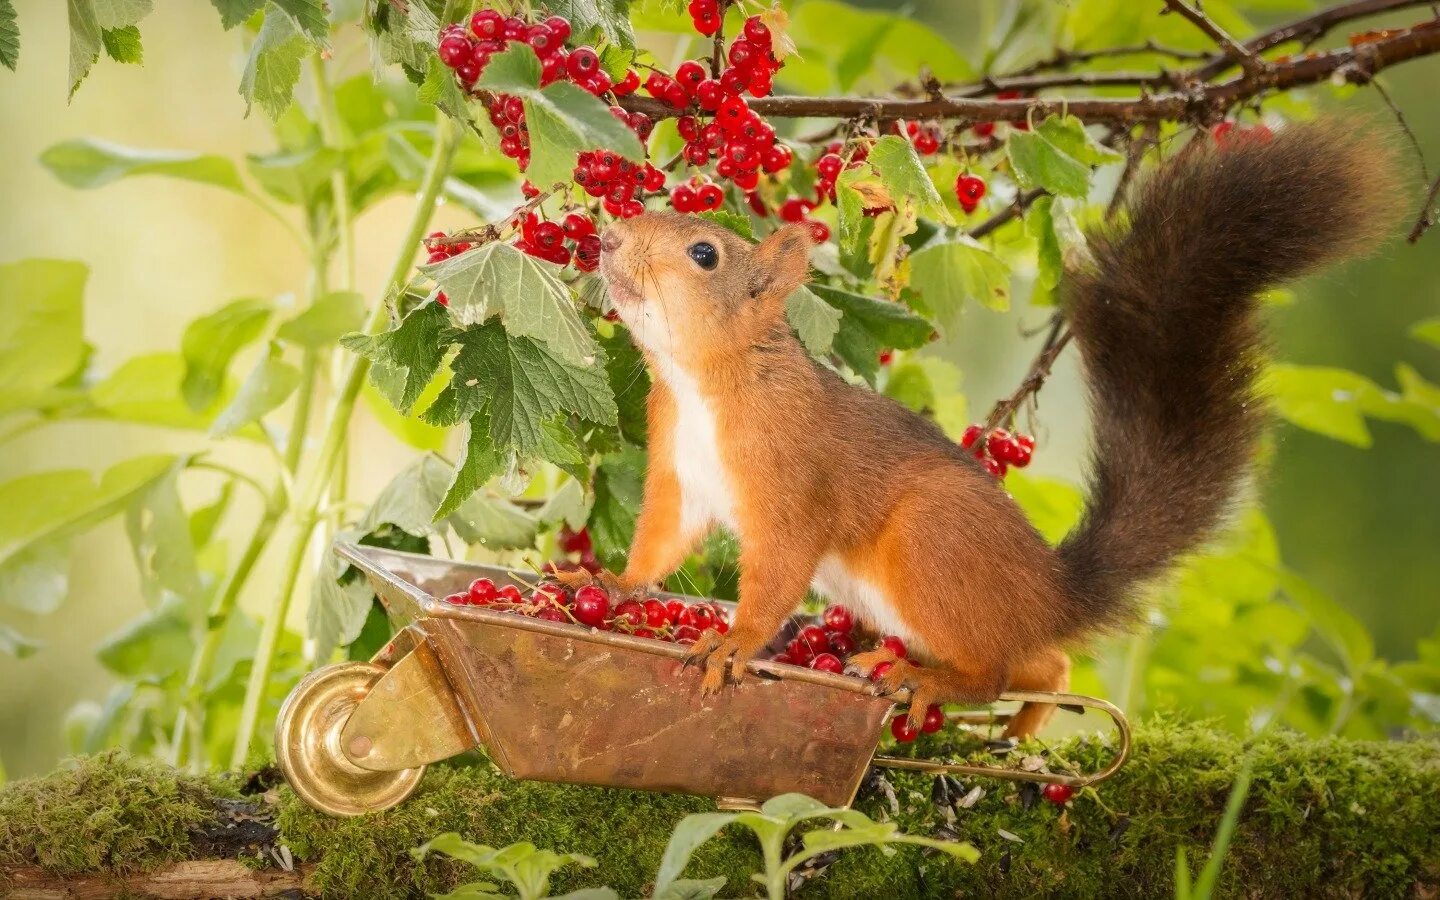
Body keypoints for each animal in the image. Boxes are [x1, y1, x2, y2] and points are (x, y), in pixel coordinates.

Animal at [590, 120, 1399, 737]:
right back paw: (1009, 713)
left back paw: (926, 681)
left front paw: (732, 645)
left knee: (994, 669)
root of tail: (1050, 592)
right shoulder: (680, 474)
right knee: (1043, 664)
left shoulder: (793, 484)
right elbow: (660, 543)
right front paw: (605, 580)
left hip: (931, 544)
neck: (701, 379)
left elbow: (776, 573)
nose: (609, 239)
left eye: (704, 254)